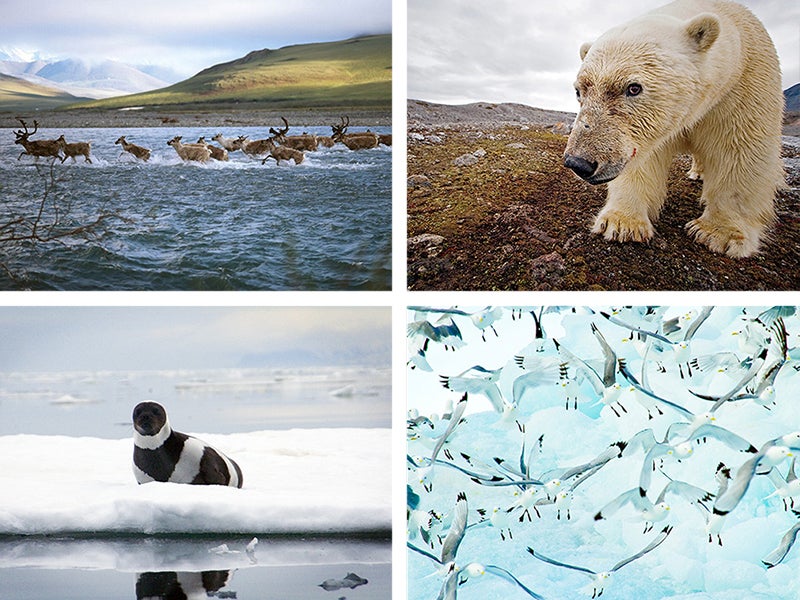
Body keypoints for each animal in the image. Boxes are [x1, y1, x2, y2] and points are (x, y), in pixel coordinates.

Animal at [564, 0, 784, 255]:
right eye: (579, 90)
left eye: (633, 88)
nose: (578, 162)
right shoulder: (651, 131)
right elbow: (645, 160)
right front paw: (621, 223)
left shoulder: (743, 87)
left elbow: (741, 151)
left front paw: (718, 234)